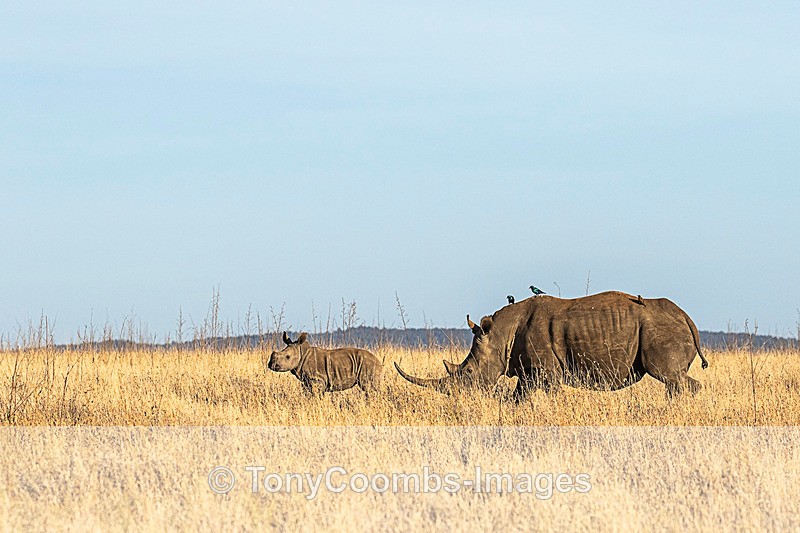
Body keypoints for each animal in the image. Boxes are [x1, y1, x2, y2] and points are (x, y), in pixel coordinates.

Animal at [395, 291, 709, 399]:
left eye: (469, 373)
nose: (459, 399)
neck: (500, 334)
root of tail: (686, 316)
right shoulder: (527, 370)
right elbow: (518, 398)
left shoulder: (547, 372)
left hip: (660, 329)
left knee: (668, 376)